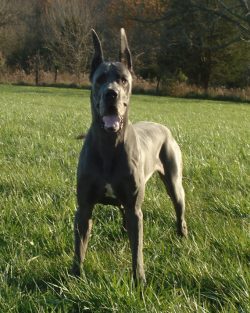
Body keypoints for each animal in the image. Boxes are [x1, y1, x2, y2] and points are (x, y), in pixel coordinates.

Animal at [71, 29, 187, 282]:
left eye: (123, 79)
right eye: (100, 79)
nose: (111, 94)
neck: (109, 144)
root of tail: (163, 127)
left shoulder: (135, 209)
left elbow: (138, 248)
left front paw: (139, 280)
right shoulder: (84, 207)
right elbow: (79, 246)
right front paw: (74, 276)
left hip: (174, 180)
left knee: (179, 206)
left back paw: (182, 235)